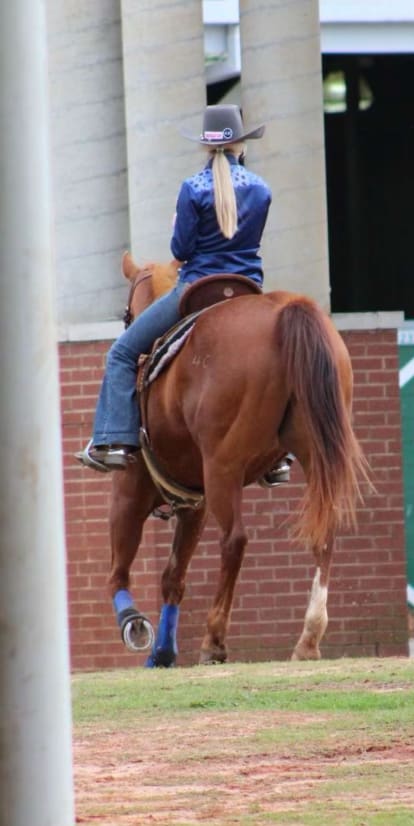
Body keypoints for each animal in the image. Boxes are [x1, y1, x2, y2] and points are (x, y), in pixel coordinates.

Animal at [105, 254, 368, 668]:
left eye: (125, 313)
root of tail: (285, 310)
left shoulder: (128, 492)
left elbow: (120, 570)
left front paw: (133, 623)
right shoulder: (193, 503)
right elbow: (173, 578)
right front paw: (162, 651)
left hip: (222, 468)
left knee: (235, 540)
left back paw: (214, 640)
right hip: (315, 453)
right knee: (325, 532)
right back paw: (308, 638)